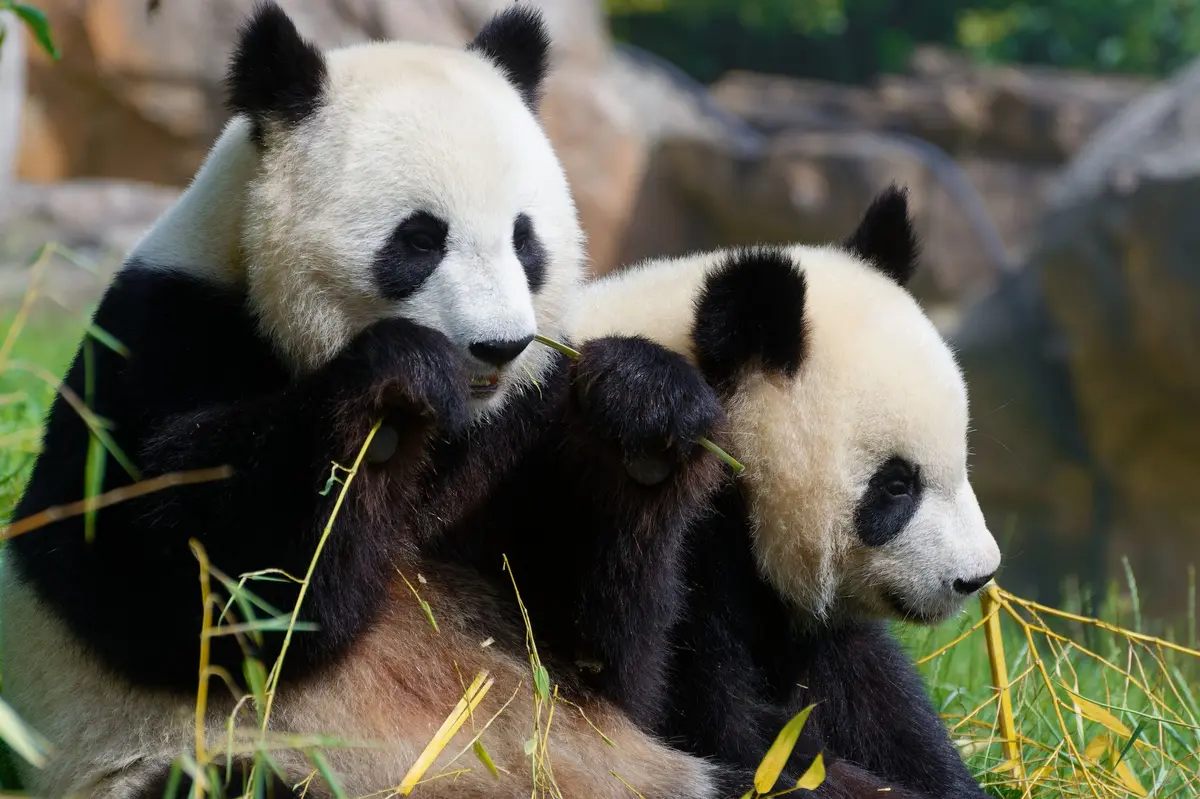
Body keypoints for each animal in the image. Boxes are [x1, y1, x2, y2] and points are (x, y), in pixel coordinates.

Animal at [0, 3, 727, 798]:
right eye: (420, 238)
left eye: (525, 239)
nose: (499, 347)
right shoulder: (159, 341)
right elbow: (179, 579)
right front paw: (395, 388)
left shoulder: (518, 432)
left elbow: (587, 647)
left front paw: (643, 406)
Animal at [568, 186, 1003, 798]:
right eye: (896, 484)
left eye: (961, 457)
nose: (976, 576)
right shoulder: (689, 551)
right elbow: (729, 736)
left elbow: (869, 697)